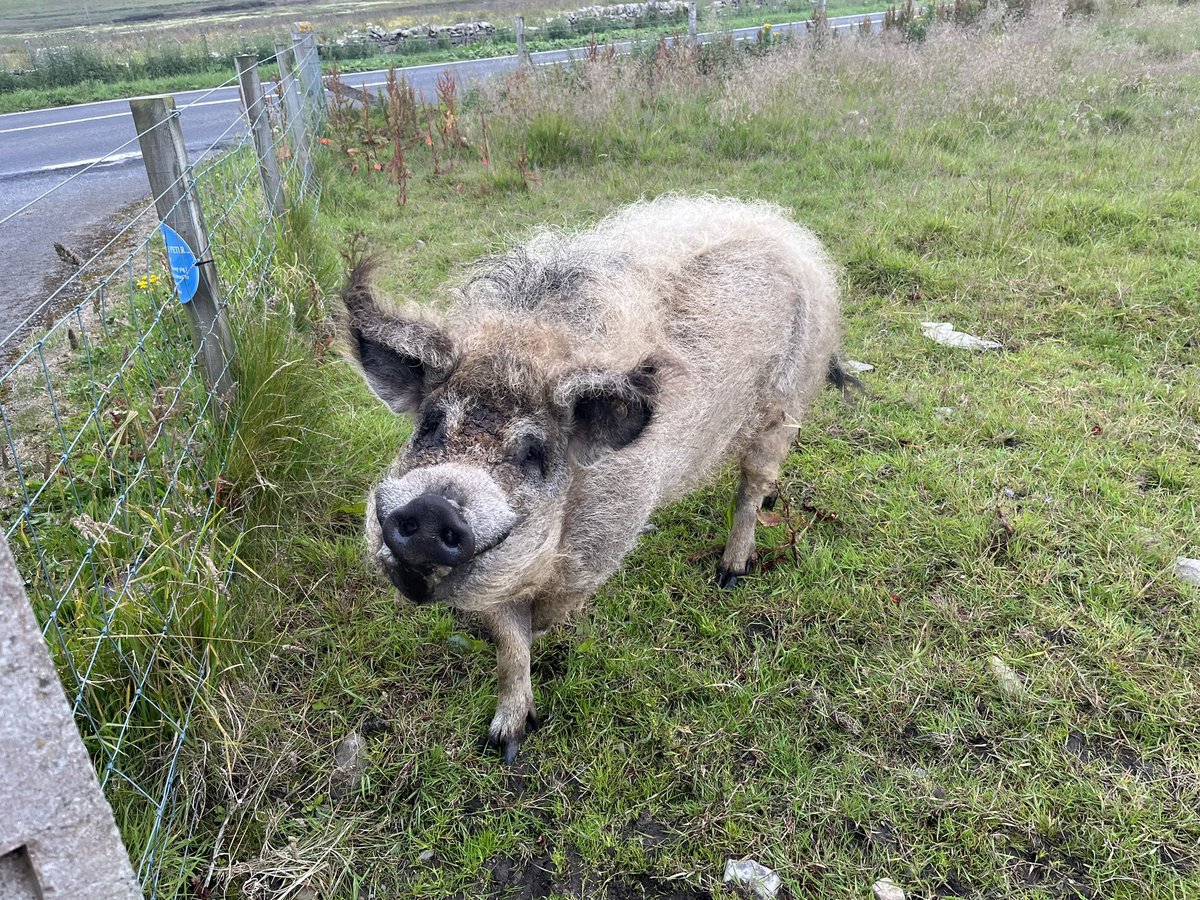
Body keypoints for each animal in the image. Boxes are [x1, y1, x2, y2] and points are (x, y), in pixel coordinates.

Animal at [341, 195, 850, 761]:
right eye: (430, 425)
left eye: (534, 453)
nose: (432, 508)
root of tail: (782, 229)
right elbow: (509, 643)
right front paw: (504, 743)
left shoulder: (599, 548)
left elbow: (542, 619)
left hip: (785, 404)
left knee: (752, 485)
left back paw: (730, 572)